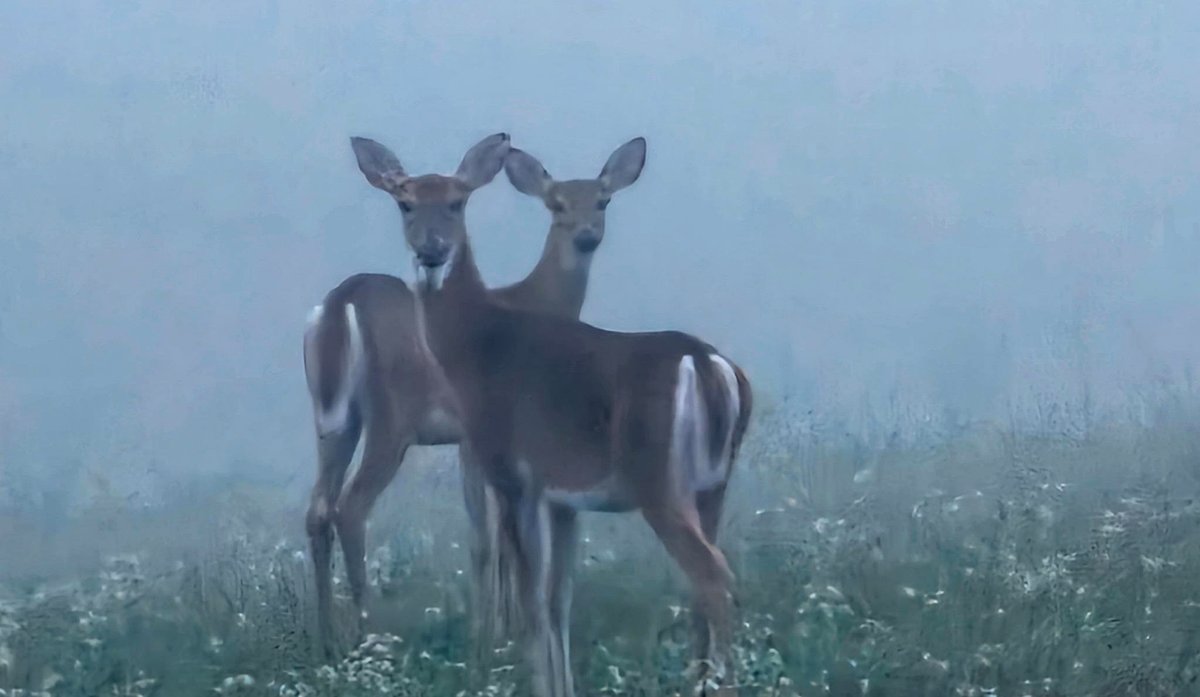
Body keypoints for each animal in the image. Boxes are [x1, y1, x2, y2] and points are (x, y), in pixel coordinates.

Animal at [302, 132, 647, 659]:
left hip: (333, 420)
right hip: (391, 417)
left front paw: (494, 626)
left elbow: (485, 536)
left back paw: (326, 639)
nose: (588, 235)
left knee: (317, 510)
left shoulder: (469, 441)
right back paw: (367, 633)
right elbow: (494, 537)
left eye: (603, 199)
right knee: (352, 508)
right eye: (556, 204)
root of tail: (342, 303)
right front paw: (497, 632)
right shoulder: (485, 434)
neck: (533, 303)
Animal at [387, 133, 753, 697]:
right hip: (714, 486)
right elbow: (559, 601)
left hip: (659, 482)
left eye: (457, 202)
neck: (477, 345)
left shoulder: (512, 474)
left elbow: (531, 601)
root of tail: (710, 366)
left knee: (713, 575)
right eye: (404, 203)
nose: (431, 251)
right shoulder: (565, 500)